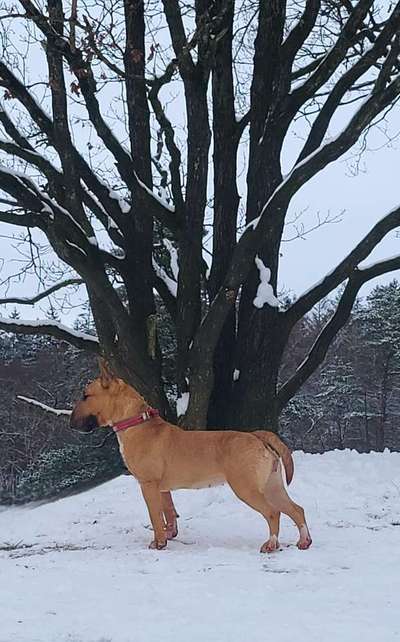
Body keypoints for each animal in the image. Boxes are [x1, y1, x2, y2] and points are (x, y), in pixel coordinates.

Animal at [70, 360, 310, 552]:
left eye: (86, 396)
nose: (70, 422)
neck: (136, 422)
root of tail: (257, 435)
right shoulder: (162, 488)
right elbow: (168, 512)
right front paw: (169, 535)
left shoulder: (148, 484)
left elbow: (155, 516)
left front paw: (158, 543)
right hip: (272, 486)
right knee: (296, 509)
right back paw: (304, 541)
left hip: (247, 487)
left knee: (273, 512)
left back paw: (271, 544)